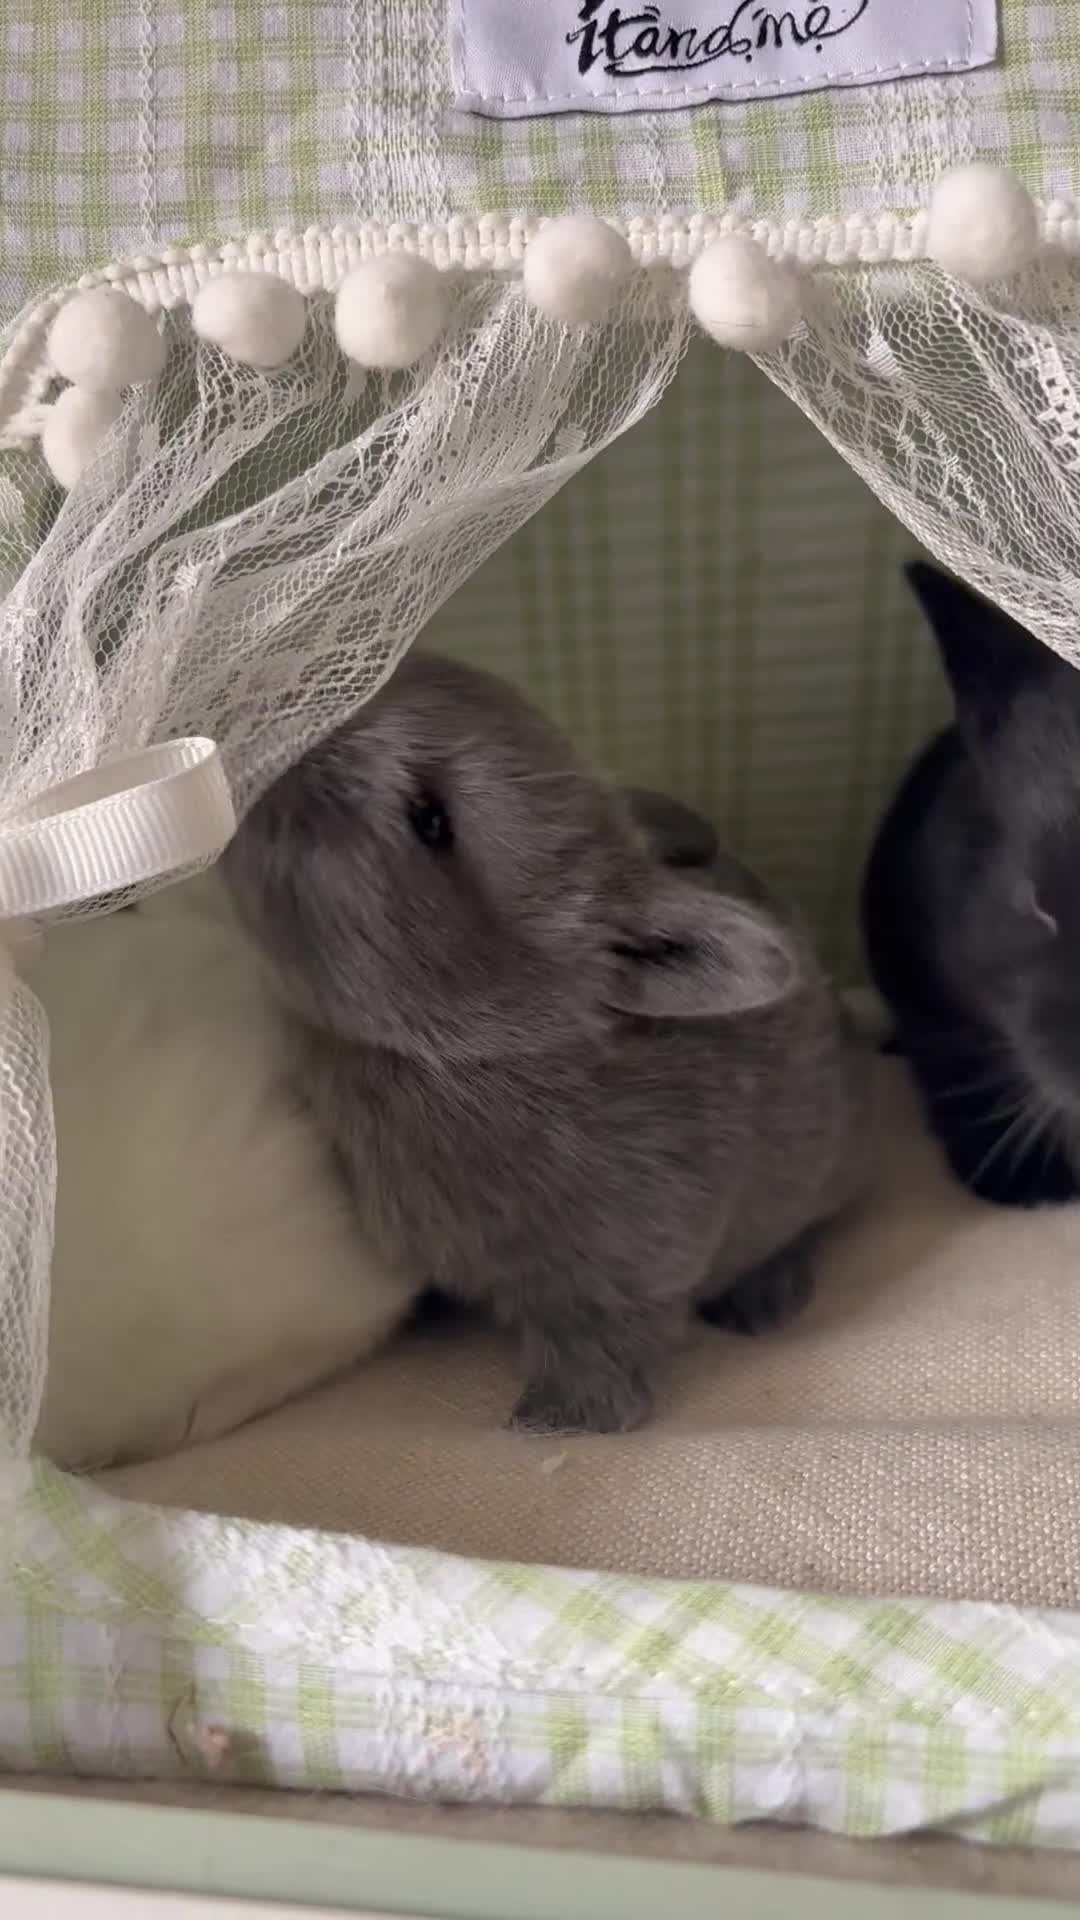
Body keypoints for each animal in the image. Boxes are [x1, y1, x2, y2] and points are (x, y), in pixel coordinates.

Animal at [223, 651, 868, 1435]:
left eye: (431, 820)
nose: (269, 714)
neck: (480, 1048)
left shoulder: (627, 1269)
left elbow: (605, 1341)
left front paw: (557, 1422)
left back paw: (766, 1295)